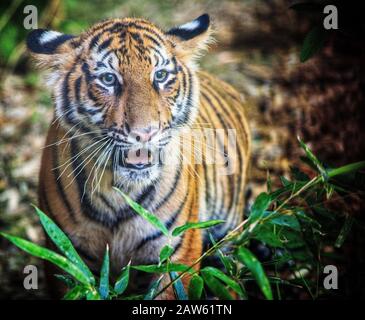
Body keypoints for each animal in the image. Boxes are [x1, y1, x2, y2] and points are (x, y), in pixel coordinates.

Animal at [26, 13, 250, 298]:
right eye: (108, 79)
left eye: (161, 75)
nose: (145, 133)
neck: (118, 190)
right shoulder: (66, 255)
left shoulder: (176, 251)